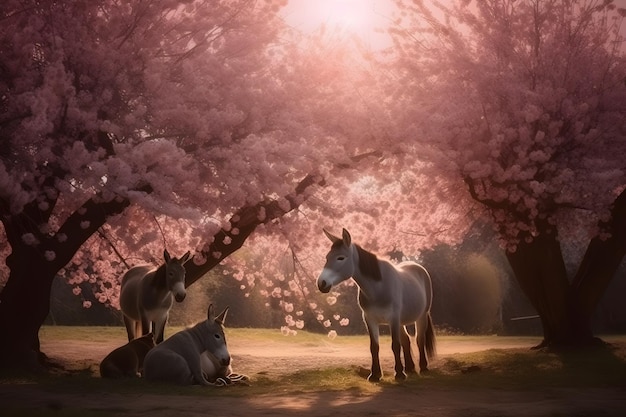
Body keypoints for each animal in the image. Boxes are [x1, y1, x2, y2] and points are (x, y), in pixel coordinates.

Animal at [316, 229, 434, 382]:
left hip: (421, 316)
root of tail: (418, 267)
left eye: (340, 258)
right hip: (401, 321)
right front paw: (375, 374)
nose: (321, 283)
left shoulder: (393, 319)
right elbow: (374, 347)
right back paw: (410, 368)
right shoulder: (370, 319)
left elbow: (395, 345)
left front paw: (399, 374)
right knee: (406, 340)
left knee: (419, 340)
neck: (378, 288)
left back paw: (423, 367)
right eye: (327, 257)